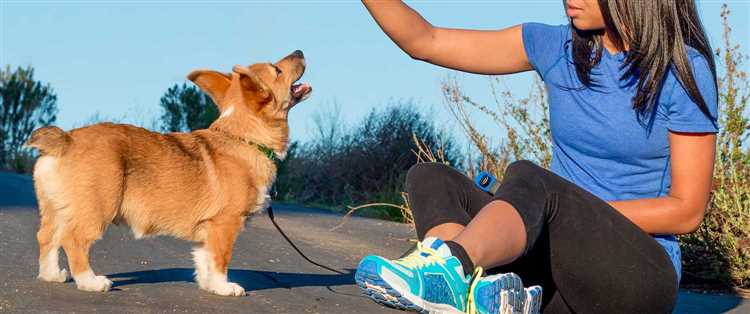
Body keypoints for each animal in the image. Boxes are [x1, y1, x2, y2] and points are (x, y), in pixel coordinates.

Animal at [24, 50, 312, 296]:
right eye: (277, 70)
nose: (299, 51)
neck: (245, 138)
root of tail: (66, 140)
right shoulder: (225, 224)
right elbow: (220, 260)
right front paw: (223, 287)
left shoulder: (208, 229)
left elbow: (204, 260)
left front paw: (208, 285)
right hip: (97, 208)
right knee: (73, 240)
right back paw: (91, 281)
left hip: (55, 208)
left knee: (47, 237)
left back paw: (52, 275)